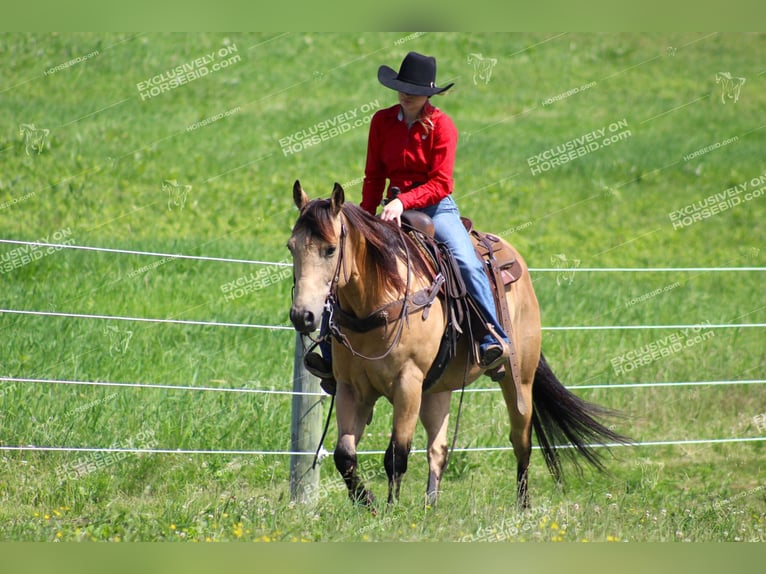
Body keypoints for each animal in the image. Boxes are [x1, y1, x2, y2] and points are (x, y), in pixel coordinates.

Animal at [288, 181, 632, 512]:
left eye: (331, 249)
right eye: (291, 247)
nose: (303, 316)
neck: (380, 299)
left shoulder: (407, 383)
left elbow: (396, 454)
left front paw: (389, 510)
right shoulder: (351, 388)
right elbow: (344, 455)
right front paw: (368, 502)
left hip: (519, 379)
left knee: (521, 440)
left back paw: (522, 506)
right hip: (438, 389)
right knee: (438, 449)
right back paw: (430, 505)